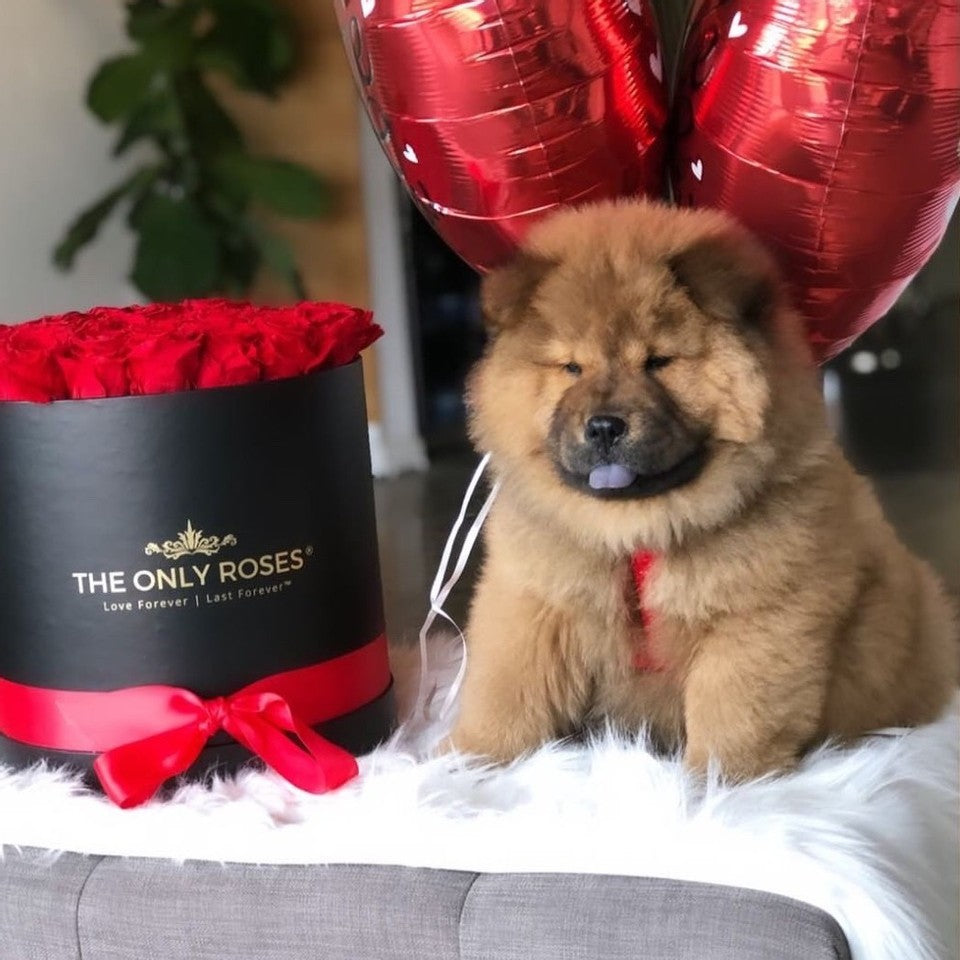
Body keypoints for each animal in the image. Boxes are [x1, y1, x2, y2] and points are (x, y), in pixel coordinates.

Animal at [452, 197, 960, 780]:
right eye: (571, 367)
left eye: (659, 362)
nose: (603, 426)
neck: (637, 533)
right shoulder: (534, 604)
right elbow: (507, 690)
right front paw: (470, 764)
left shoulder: (758, 619)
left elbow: (734, 714)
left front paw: (721, 786)